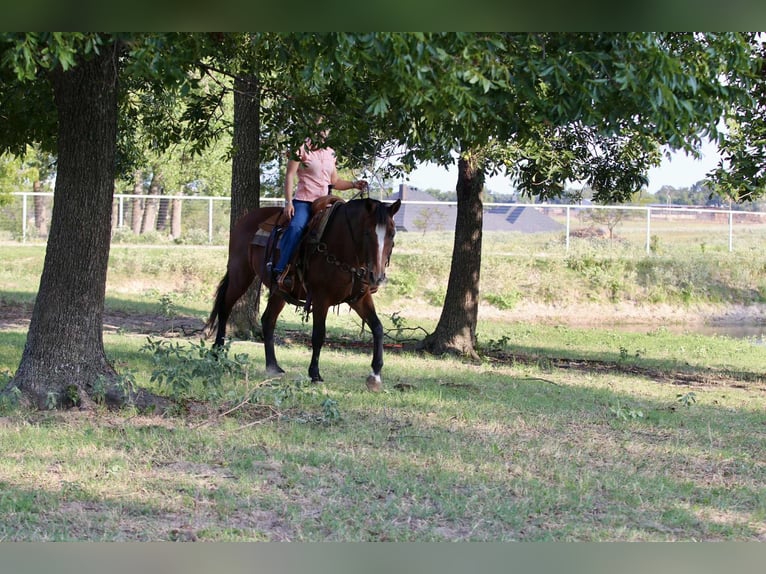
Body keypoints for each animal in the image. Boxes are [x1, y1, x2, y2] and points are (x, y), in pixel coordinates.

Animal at [205, 196, 401, 391]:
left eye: (392, 233)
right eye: (368, 233)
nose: (377, 276)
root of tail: (245, 219)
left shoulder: (359, 298)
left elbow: (377, 328)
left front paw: (375, 376)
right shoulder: (321, 298)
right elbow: (319, 334)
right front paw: (314, 374)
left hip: (279, 291)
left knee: (268, 320)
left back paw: (273, 366)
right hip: (241, 274)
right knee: (225, 308)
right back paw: (217, 352)